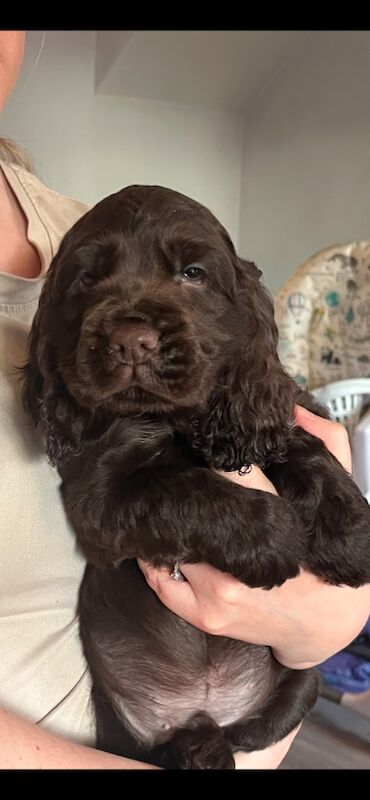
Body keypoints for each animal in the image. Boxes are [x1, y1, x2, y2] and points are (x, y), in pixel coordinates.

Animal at [22, 186, 370, 768]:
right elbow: (186, 490)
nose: (132, 340)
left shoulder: (260, 413)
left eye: (193, 273)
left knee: (245, 731)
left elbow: (302, 446)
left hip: (304, 679)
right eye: (87, 279)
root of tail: (203, 708)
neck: (177, 419)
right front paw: (274, 536)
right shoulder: (100, 496)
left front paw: (352, 535)